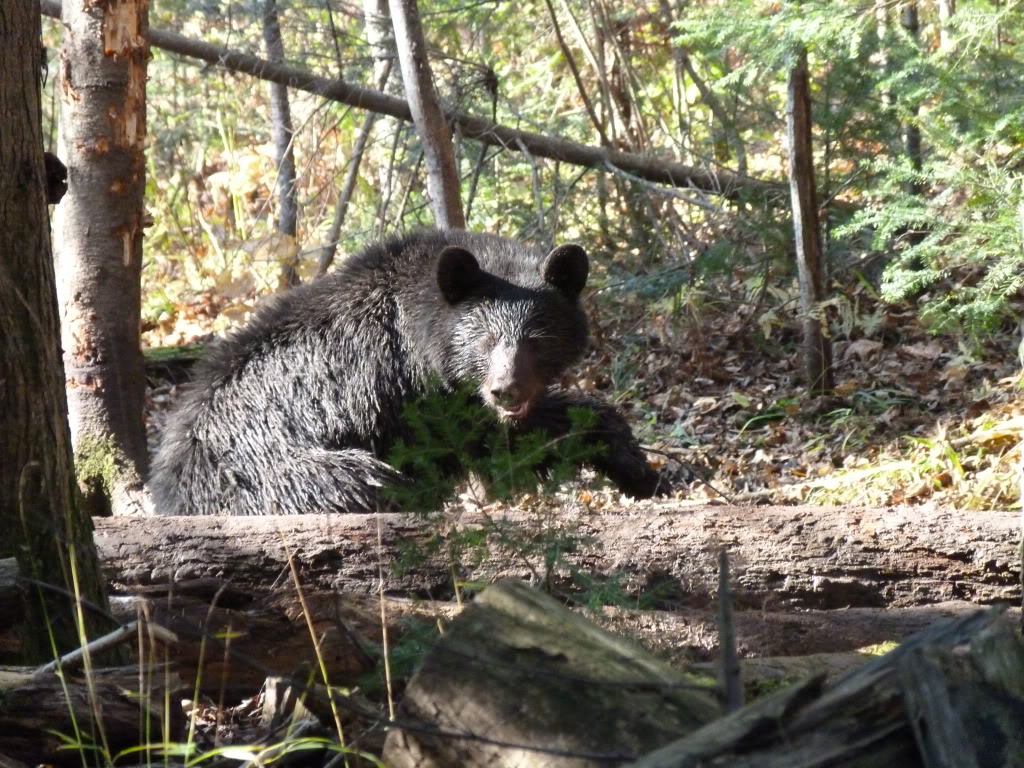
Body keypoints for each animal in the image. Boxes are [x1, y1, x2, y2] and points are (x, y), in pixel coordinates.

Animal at [149, 230, 663, 518]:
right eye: (484, 340)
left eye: (537, 339)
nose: (505, 390)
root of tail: (173, 490)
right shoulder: (408, 393)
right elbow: (488, 441)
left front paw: (641, 471)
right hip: (287, 474)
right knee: (365, 481)